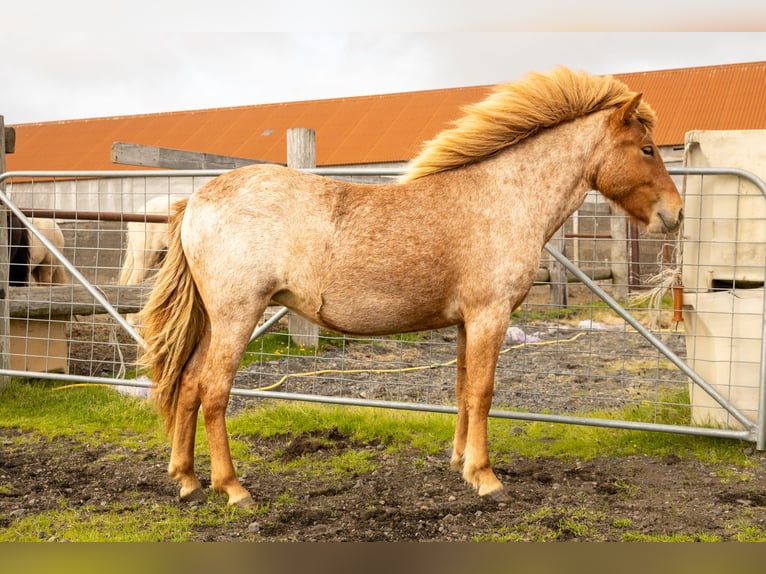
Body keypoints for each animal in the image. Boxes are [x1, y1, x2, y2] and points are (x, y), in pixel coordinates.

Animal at [138, 66, 684, 508]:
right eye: (647, 149)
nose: (675, 214)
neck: (501, 196)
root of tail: (196, 199)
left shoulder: (466, 322)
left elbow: (464, 389)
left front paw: (461, 465)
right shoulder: (490, 315)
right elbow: (484, 391)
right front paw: (487, 478)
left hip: (216, 321)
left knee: (188, 385)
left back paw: (187, 481)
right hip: (237, 317)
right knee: (214, 392)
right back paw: (233, 488)